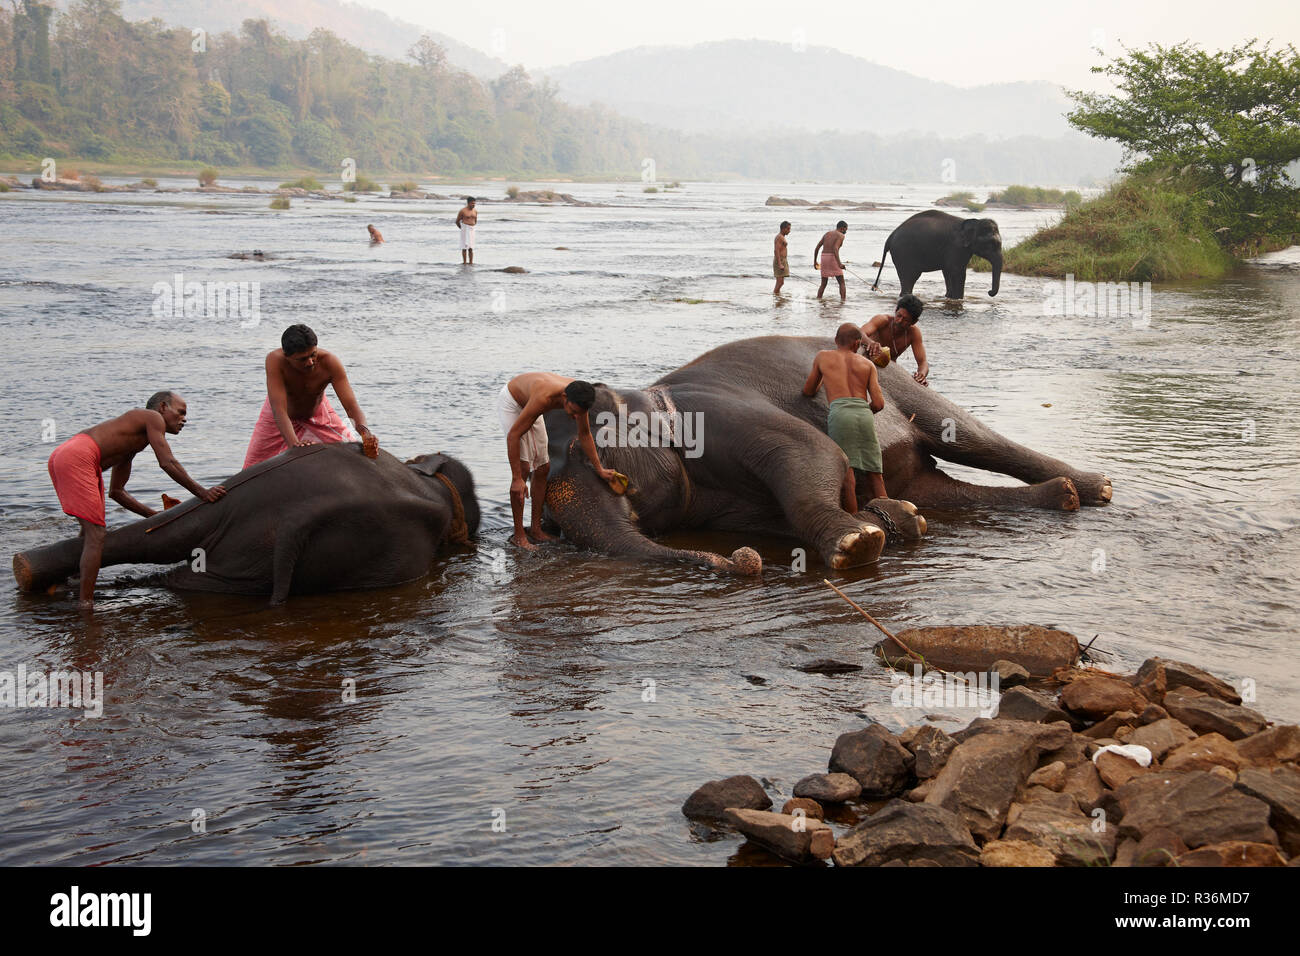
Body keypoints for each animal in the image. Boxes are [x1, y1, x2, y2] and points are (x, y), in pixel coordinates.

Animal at [538, 335, 1107, 574]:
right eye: (547, 525)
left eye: (590, 456)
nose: (741, 562)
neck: (649, 398)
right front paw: (887, 525)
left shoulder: (716, 414)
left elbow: (814, 452)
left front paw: (857, 545)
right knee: (942, 492)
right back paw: (1061, 496)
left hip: (902, 385)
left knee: (969, 438)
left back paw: (1094, 487)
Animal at [873, 209, 1003, 299]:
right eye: (992, 244)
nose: (989, 292)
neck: (974, 222)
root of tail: (890, 237)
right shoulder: (956, 247)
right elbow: (958, 271)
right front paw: (958, 299)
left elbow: (947, 271)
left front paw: (948, 297)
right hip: (903, 254)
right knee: (909, 278)